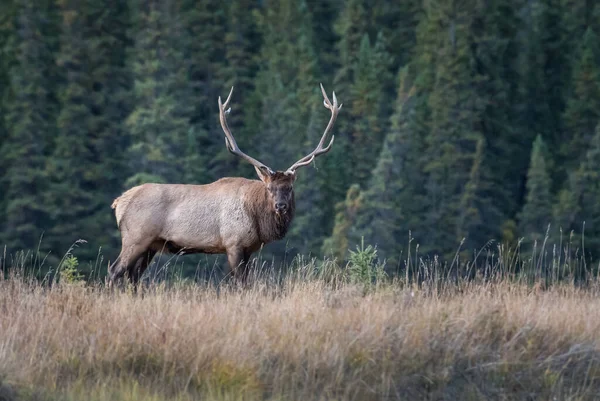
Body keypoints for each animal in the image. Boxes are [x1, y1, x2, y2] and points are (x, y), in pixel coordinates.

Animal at [108, 83, 342, 284]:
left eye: (290, 187)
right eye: (269, 188)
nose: (281, 206)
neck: (256, 217)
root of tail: (119, 202)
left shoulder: (249, 249)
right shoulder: (233, 243)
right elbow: (239, 283)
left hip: (151, 245)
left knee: (133, 276)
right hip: (135, 237)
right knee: (115, 270)